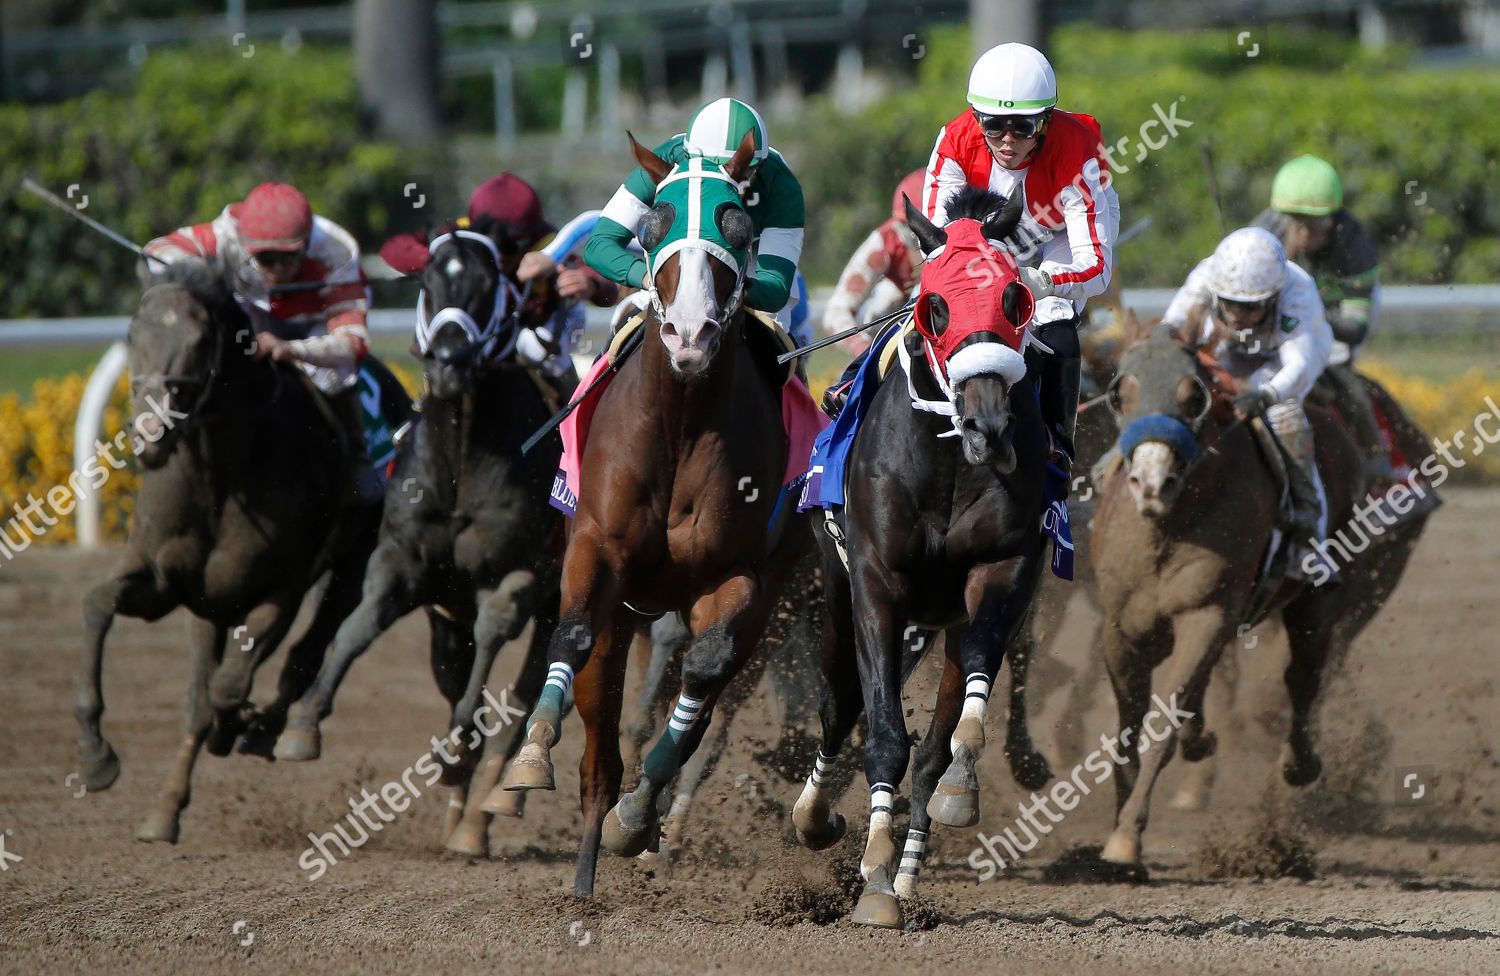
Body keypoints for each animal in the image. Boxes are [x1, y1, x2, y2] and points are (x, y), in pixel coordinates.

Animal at [76, 263, 411, 845]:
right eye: (132, 334)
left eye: (198, 340)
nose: (151, 434)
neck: (220, 474)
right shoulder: (164, 583)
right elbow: (99, 605)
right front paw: (98, 756)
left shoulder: (280, 590)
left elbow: (230, 687)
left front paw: (240, 724)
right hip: (213, 601)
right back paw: (166, 810)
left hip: (355, 562)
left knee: (305, 654)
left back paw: (276, 730)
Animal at [276, 229, 564, 857]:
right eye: (428, 282)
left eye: (489, 284)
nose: (449, 360)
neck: (461, 454)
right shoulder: (403, 563)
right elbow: (358, 625)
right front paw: (302, 725)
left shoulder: (523, 573)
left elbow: (496, 629)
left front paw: (459, 747)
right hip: (444, 625)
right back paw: (461, 811)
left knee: (526, 688)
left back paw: (490, 803)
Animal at [498, 133, 810, 899]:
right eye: (649, 227)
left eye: (738, 226)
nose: (691, 335)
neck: (681, 421)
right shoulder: (595, 550)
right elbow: (573, 636)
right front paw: (532, 754)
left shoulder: (737, 579)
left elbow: (703, 674)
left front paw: (640, 817)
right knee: (598, 753)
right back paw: (582, 878)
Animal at [792, 187, 1050, 929]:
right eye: (936, 304)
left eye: (1014, 298)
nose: (990, 426)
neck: (947, 464)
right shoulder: (876, 583)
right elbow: (881, 731)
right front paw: (873, 882)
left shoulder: (1003, 570)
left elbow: (951, 728)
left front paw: (956, 792)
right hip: (836, 597)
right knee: (839, 706)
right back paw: (816, 818)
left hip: (943, 619)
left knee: (933, 738)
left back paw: (908, 873)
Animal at [1092, 332, 1428, 875]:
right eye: (1120, 394)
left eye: (1194, 396)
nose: (1151, 483)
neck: (1171, 527)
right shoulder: (1121, 628)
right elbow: (1128, 725)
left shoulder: (1207, 614)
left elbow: (1161, 722)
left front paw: (1126, 838)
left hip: (1327, 593)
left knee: (1303, 675)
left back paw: (1299, 763)